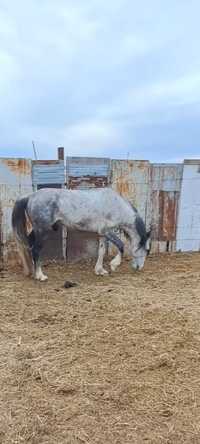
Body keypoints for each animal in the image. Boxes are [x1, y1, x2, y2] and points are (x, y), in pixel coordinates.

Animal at [11, 187, 150, 280]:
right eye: (147, 250)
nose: (139, 268)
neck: (115, 205)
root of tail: (30, 196)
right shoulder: (106, 231)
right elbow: (121, 246)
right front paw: (114, 265)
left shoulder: (102, 233)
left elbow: (101, 251)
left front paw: (100, 270)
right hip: (42, 230)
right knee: (35, 249)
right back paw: (40, 275)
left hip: (37, 230)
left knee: (29, 245)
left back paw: (32, 271)